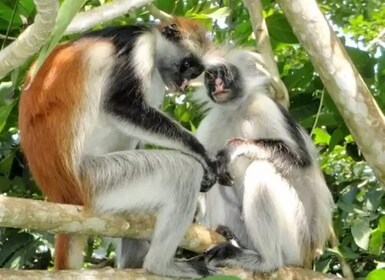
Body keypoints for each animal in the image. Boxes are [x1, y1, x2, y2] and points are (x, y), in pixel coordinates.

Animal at [19, 18, 219, 278]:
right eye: (186, 65)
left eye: (194, 72)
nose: (185, 84)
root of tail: (62, 194)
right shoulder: (139, 45)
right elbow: (121, 104)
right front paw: (200, 153)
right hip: (97, 178)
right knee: (183, 172)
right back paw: (159, 265)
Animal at [195, 49, 332, 272]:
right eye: (210, 77)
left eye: (225, 73)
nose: (217, 85)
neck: (236, 110)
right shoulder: (210, 123)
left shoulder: (266, 106)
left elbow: (301, 163)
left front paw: (234, 148)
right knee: (217, 180)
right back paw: (227, 235)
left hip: (296, 238)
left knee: (260, 169)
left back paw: (266, 261)